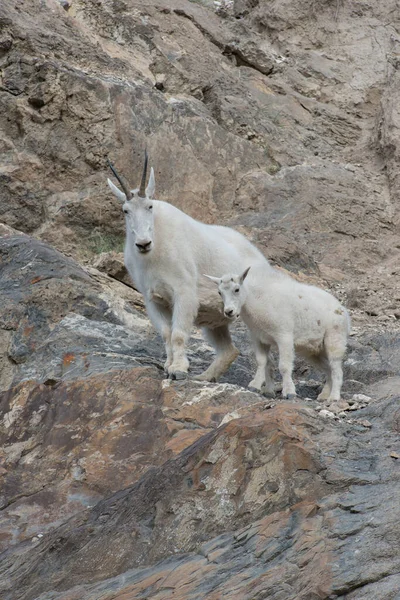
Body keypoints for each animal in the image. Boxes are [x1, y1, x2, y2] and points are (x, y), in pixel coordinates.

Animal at [108, 155, 274, 380]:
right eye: (125, 210)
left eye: (150, 206)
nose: (143, 244)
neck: (155, 252)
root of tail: (263, 261)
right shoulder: (154, 300)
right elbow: (166, 334)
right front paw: (168, 366)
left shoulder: (184, 293)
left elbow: (178, 334)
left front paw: (178, 369)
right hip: (216, 320)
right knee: (229, 351)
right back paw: (203, 377)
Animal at [206, 264, 350, 400]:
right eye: (219, 292)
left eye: (237, 289)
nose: (229, 311)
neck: (256, 301)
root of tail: (342, 309)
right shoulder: (258, 337)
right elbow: (262, 361)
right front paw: (255, 386)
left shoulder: (284, 336)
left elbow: (284, 366)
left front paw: (289, 392)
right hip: (313, 350)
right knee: (328, 368)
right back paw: (324, 395)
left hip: (335, 338)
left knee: (336, 368)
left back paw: (333, 397)